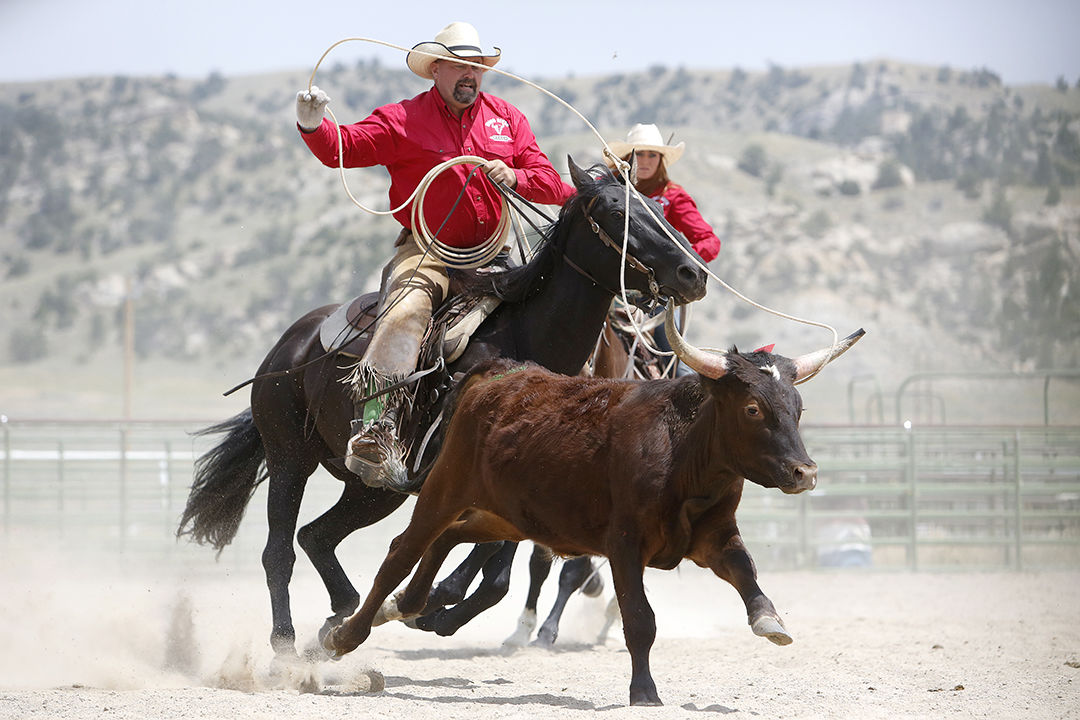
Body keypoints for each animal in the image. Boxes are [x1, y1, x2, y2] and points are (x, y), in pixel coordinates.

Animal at [177, 156, 708, 660]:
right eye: (617, 212)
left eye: (659, 208)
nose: (693, 273)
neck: (525, 344)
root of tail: (292, 344)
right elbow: (478, 561)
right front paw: (433, 604)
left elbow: (496, 567)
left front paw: (434, 607)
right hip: (291, 457)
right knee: (279, 551)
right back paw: (288, 644)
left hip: (373, 490)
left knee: (317, 536)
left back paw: (342, 616)